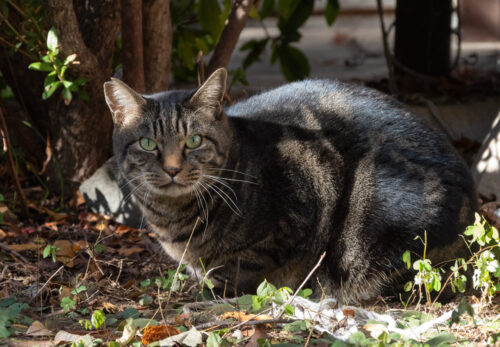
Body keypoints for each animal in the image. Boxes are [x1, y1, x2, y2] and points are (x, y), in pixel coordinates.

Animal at [103, 68, 474, 302]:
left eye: (193, 141)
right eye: (148, 144)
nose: (172, 169)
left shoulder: (292, 222)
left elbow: (242, 268)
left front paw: (211, 291)